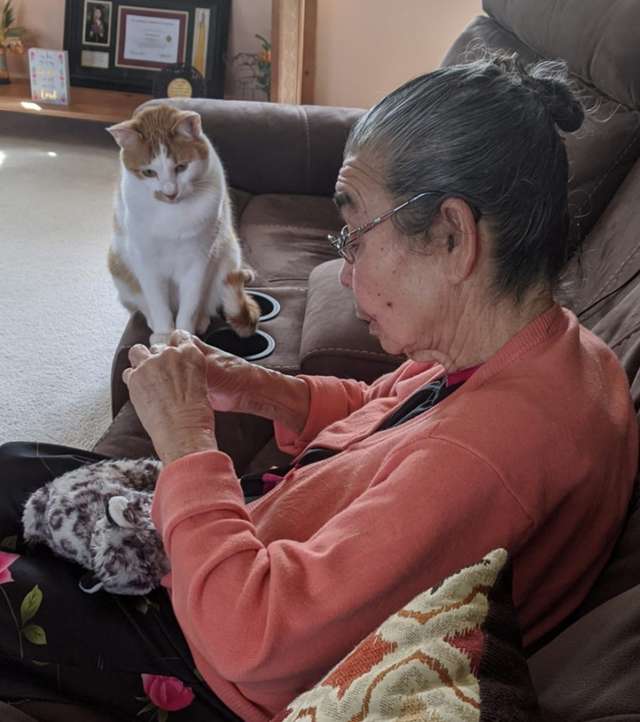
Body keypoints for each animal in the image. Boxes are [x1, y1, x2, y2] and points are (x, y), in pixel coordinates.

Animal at [106, 103, 258, 346]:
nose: (170, 192)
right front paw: (164, 336)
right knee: (142, 305)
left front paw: (185, 337)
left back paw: (201, 320)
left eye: (181, 167)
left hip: (229, 255)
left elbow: (191, 304)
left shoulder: (199, 258)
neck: (172, 214)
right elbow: (158, 304)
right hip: (118, 264)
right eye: (149, 172)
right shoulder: (146, 261)